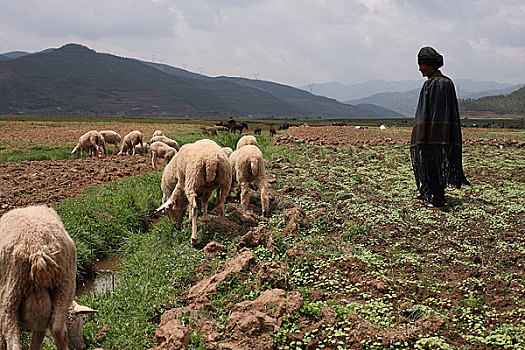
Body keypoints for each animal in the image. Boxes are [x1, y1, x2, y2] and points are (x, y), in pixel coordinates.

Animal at [0, 205, 97, 350]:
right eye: (82, 319)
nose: (82, 346)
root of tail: (37, 248)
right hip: (64, 286)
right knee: (57, 329)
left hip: (10, 295)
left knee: (13, 342)